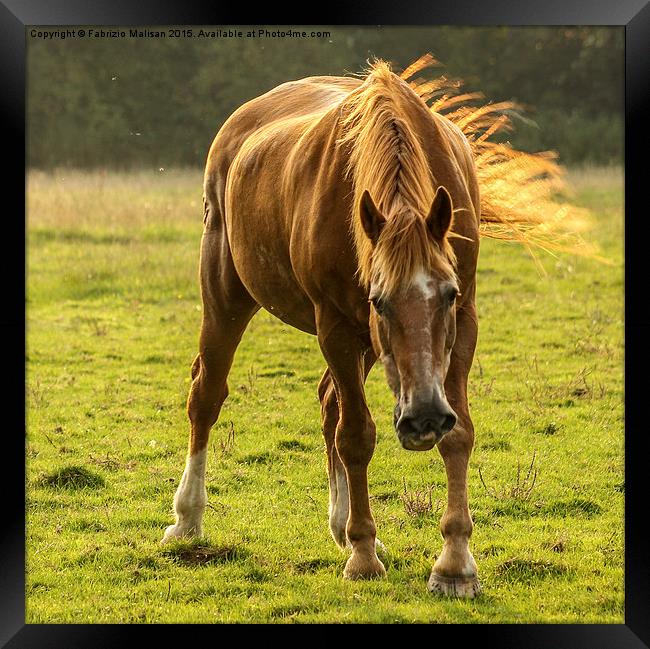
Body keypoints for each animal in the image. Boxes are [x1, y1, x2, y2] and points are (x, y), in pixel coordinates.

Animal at [159, 57, 584, 596]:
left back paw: (340, 525)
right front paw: (363, 555)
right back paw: (188, 519)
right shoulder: (338, 325)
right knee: (207, 395)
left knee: (327, 402)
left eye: (448, 295)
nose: (424, 418)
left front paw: (454, 563)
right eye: (379, 302)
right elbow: (357, 435)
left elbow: (459, 434)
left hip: (360, 347)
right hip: (227, 295)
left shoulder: (462, 324)